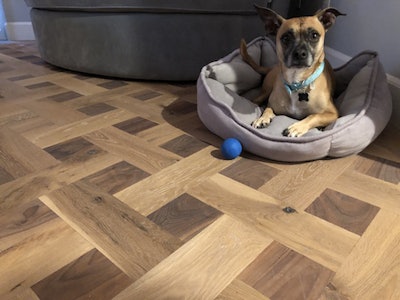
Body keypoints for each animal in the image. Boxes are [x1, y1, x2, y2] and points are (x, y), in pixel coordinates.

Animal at [239, 5, 346, 137]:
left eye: (314, 35)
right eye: (286, 38)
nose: (300, 53)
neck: (297, 82)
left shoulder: (333, 113)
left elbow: (313, 116)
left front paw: (297, 128)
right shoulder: (272, 104)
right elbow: (268, 108)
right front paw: (262, 118)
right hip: (265, 91)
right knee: (255, 100)